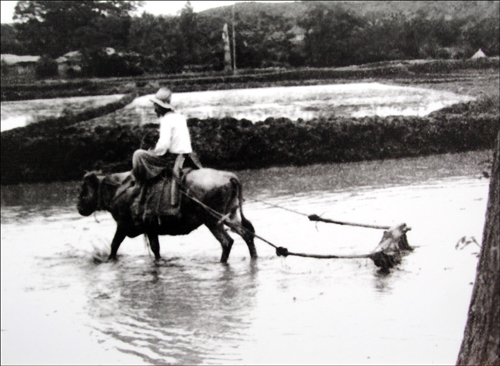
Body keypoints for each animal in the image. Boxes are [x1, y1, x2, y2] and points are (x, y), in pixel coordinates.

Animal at [79, 170, 258, 262]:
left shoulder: (122, 226)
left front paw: (109, 259)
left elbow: (114, 245)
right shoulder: (151, 230)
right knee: (247, 234)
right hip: (231, 217)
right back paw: (254, 257)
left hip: (213, 221)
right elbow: (156, 249)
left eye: (84, 189)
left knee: (227, 242)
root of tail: (229, 177)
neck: (119, 189)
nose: (79, 207)